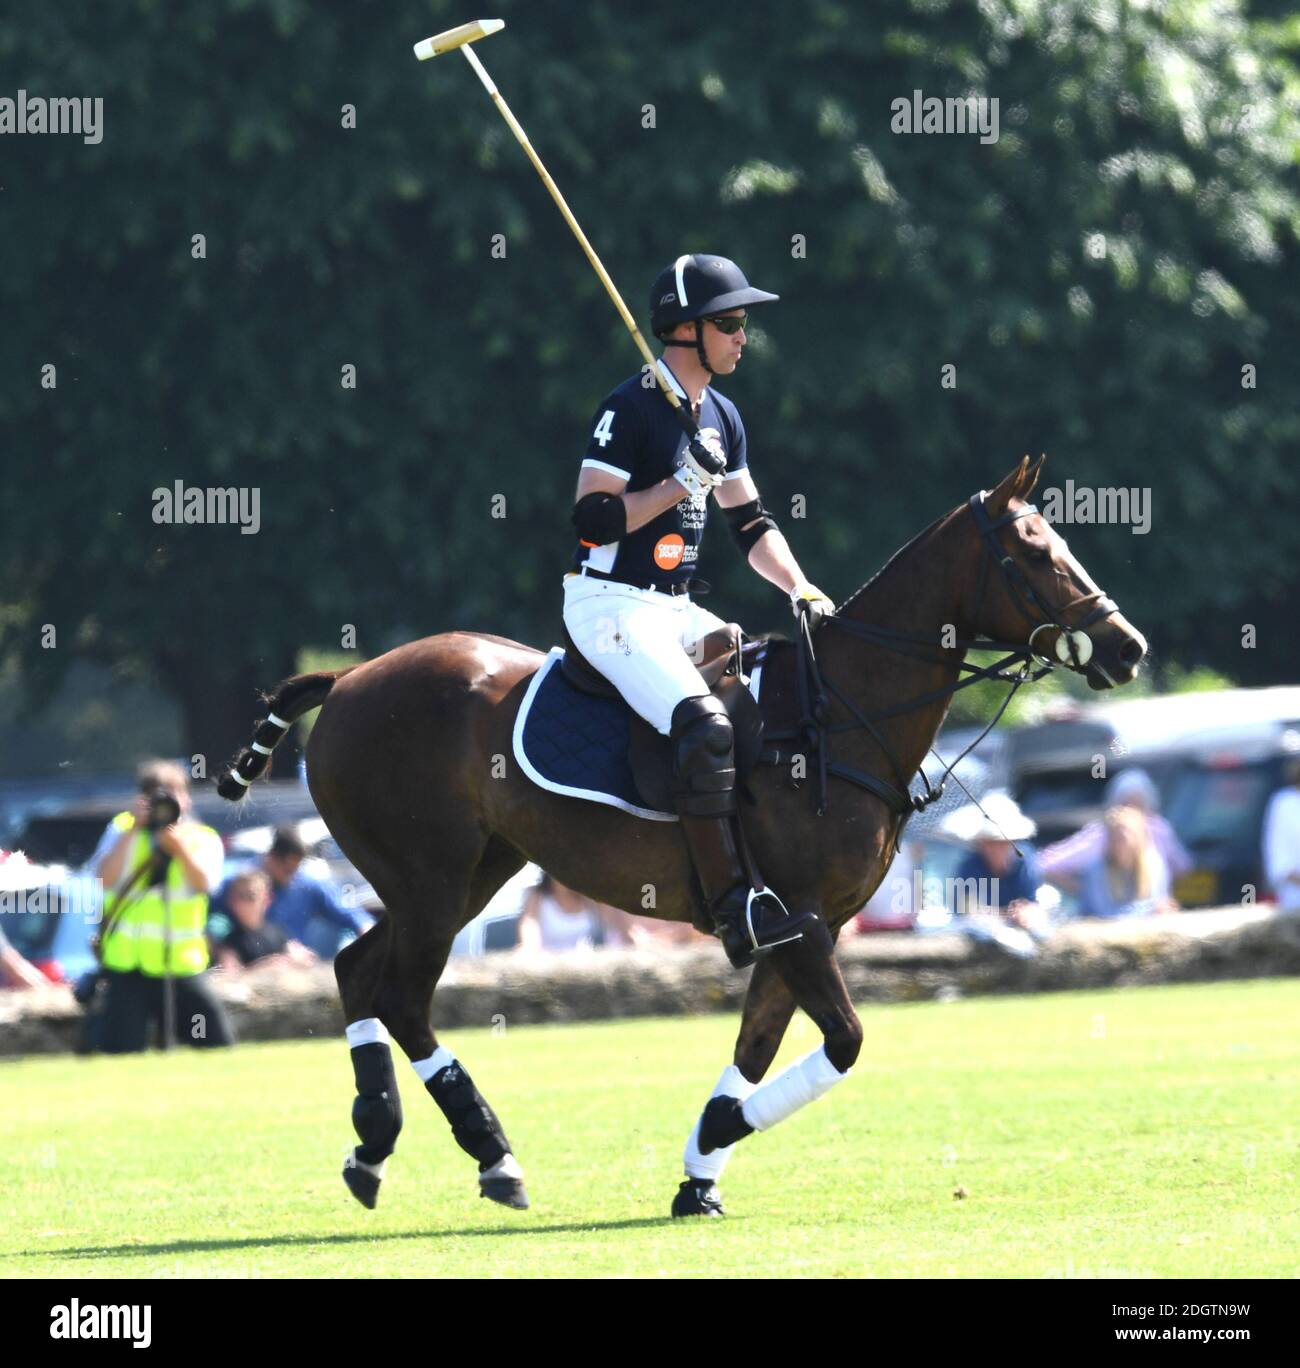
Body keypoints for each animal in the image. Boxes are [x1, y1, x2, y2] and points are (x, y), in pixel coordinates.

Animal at [216, 459, 1149, 1220]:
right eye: (1033, 553)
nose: (1128, 648)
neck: (839, 714)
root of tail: (347, 680)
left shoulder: (799, 923)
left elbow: (760, 1044)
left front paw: (701, 1172)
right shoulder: (799, 919)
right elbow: (842, 1042)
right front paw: (718, 1131)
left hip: (473, 871)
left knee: (356, 970)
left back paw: (373, 1145)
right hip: (431, 878)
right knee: (402, 995)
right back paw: (493, 1156)